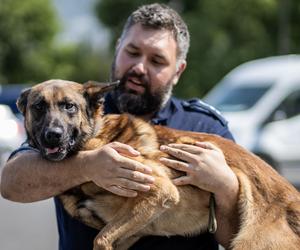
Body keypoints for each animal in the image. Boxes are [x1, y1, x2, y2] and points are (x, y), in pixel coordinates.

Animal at [17, 79, 300, 248]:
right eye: (39, 106)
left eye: (69, 106)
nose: (52, 135)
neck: (94, 138)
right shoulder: (132, 231)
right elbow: (108, 237)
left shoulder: (159, 192)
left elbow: (100, 239)